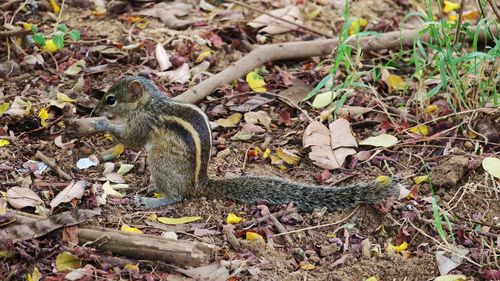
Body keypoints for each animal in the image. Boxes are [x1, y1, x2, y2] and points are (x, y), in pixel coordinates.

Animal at [94, 75, 396, 211]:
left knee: (176, 196)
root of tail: (200, 183)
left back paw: (150, 200)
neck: (150, 103)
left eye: (111, 99)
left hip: (162, 164)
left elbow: (132, 140)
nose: (95, 108)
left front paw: (101, 124)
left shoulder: (143, 123)